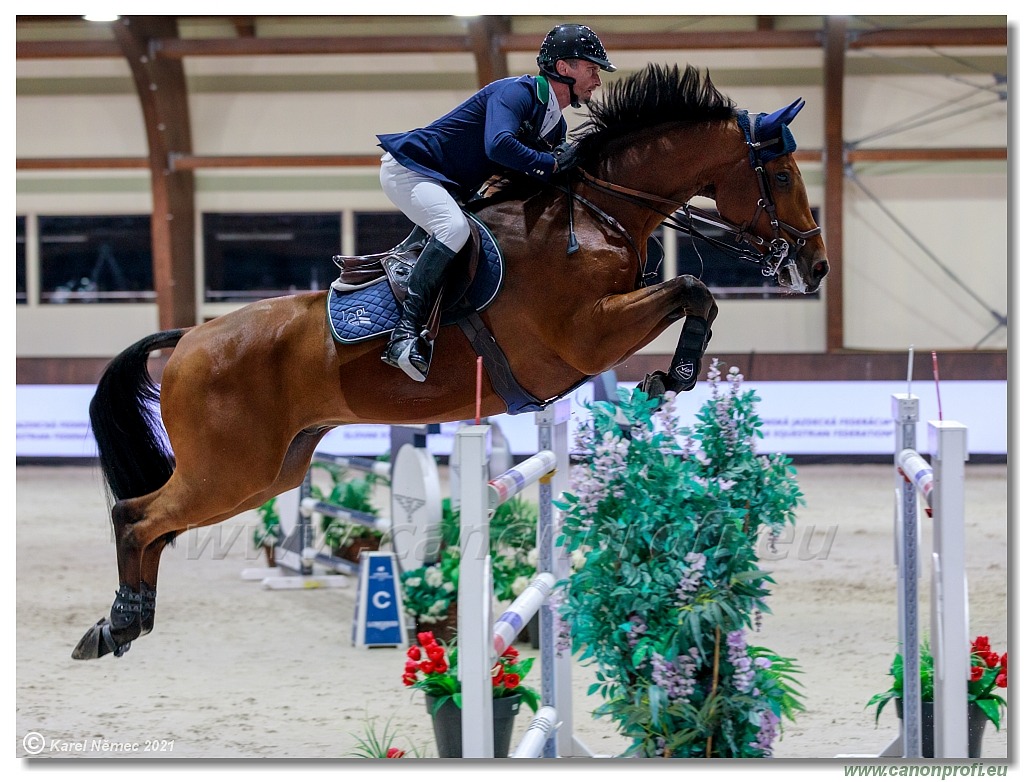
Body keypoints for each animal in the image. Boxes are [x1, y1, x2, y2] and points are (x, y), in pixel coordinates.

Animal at [70, 64, 823, 659]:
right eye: (783, 174)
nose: (814, 266)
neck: (596, 214)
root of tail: (191, 338)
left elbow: (696, 297)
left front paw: (673, 379)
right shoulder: (585, 335)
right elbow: (691, 289)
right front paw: (676, 377)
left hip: (271, 473)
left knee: (159, 524)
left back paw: (124, 623)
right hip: (230, 471)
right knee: (136, 517)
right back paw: (118, 625)